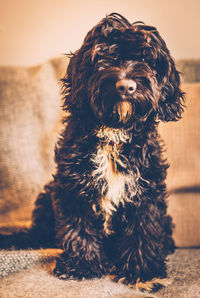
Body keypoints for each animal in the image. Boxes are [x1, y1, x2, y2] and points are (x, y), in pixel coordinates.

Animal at [0, 13, 184, 292]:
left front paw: (142, 272)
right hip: (47, 195)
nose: (126, 86)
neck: (114, 133)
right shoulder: (72, 185)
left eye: (145, 59)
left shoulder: (146, 191)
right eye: (104, 58)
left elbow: (143, 231)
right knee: (38, 232)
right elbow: (78, 228)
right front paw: (82, 266)